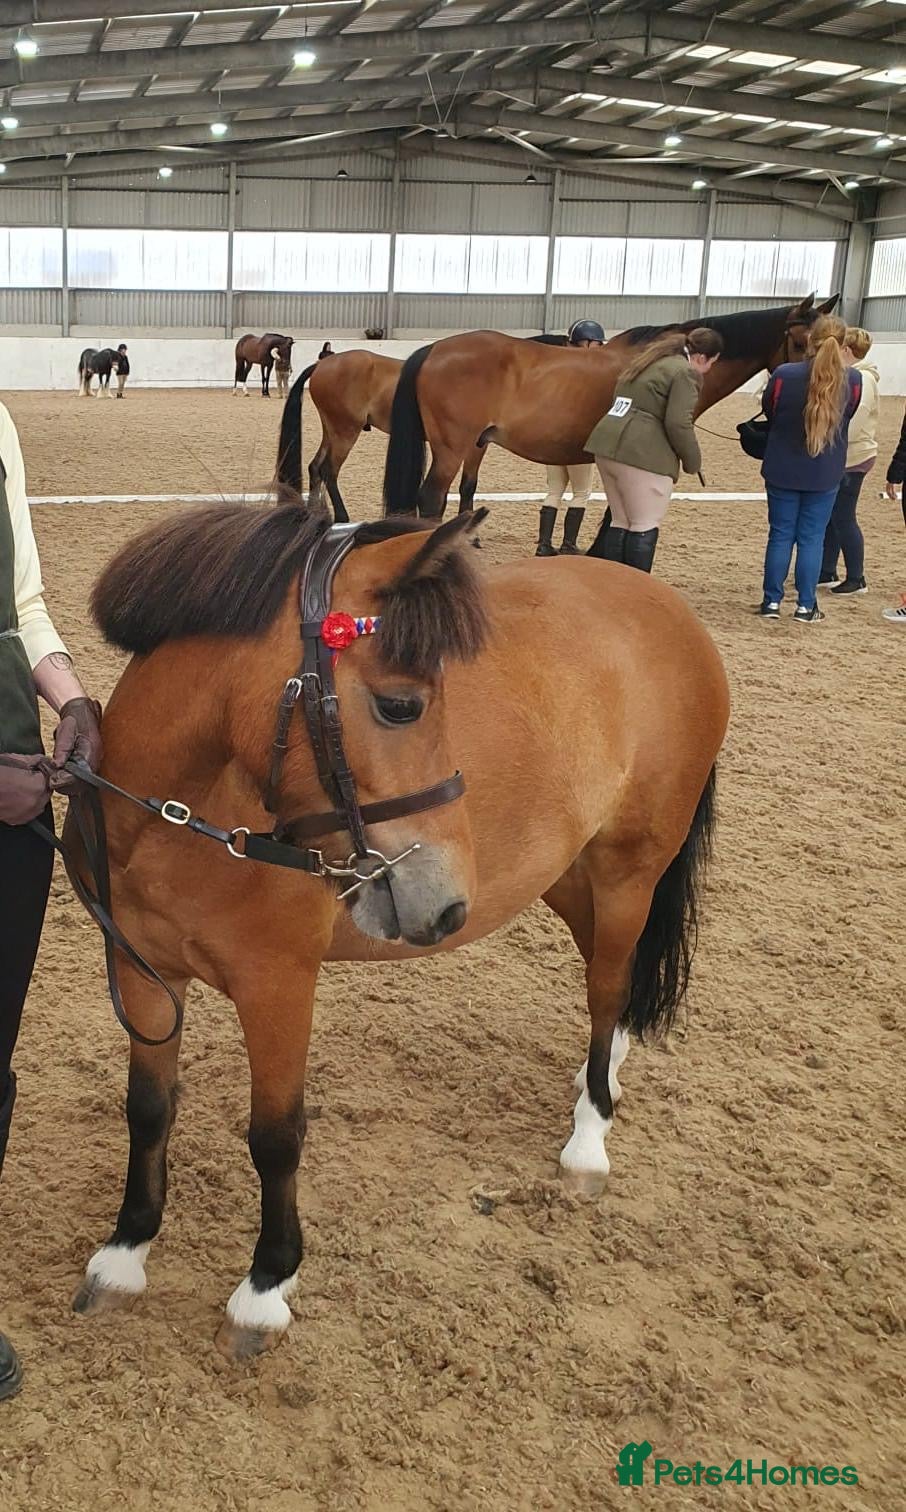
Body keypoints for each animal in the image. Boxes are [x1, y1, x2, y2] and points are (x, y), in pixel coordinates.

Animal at [66, 483, 729, 1364]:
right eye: (400, 705)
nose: (443, 901)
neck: (175, 820)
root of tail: (666, 608)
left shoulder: (279, 986)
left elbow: (275, 1135)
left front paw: (265, 1288)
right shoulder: (140, 968)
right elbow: (147, 1109)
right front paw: (125, 1253)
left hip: (630, 868)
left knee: (607, 985)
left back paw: (590, 1135)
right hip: (566, 872)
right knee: (609, 982)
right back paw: (605, 1079)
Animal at [382, 294, 840, 518]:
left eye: (831, 340)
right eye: (800, 341)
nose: (821, 396)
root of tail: (436, 348)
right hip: (453, 448)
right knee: (431, 499)